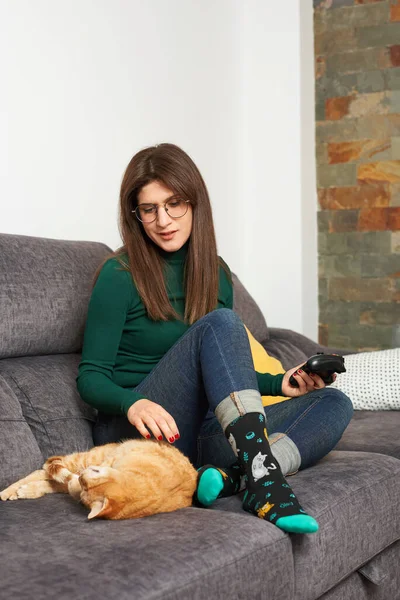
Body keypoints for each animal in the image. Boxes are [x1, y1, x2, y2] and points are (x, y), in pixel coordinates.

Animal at [0, 440, 198, 520]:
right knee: (42, 471)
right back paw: (8, 491)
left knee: (49, 480)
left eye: (84, 484)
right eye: (95, 470)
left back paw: (25, 491)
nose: (81, 476)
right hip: (83, 459)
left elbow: (67, 483)